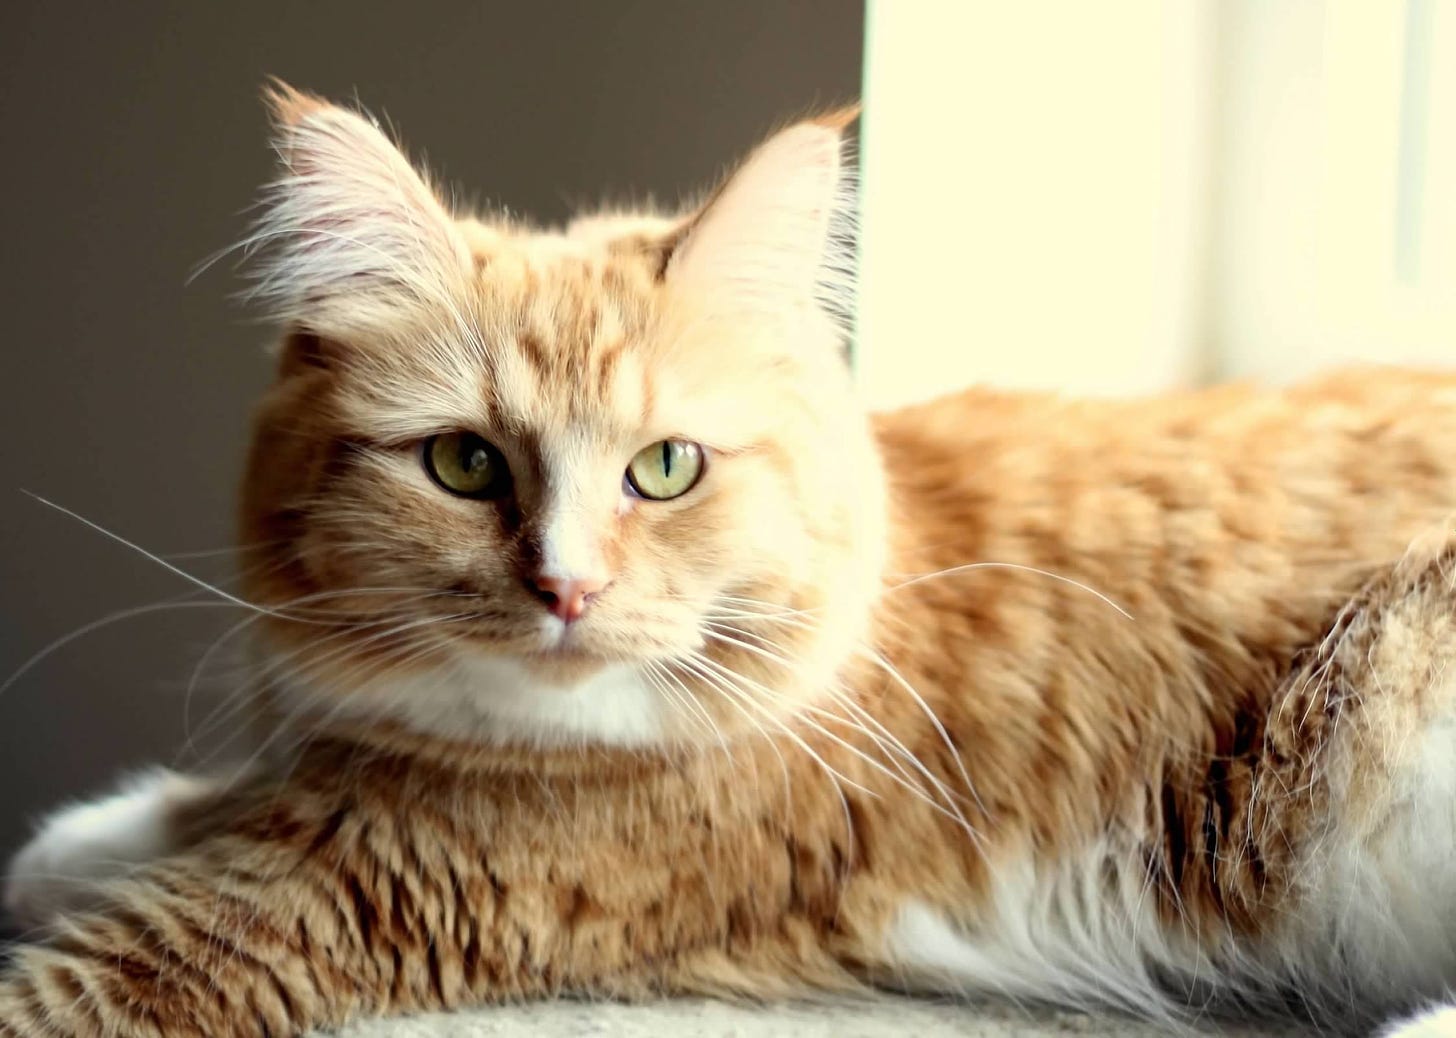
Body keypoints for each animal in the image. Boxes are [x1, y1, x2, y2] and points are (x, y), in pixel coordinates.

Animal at [2, 82, 1456, 1036]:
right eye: (465, 464)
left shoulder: (375, 892)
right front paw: (83, 837)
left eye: (664, 468)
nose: (566, 587)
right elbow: (153, 819)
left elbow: (105, 955)